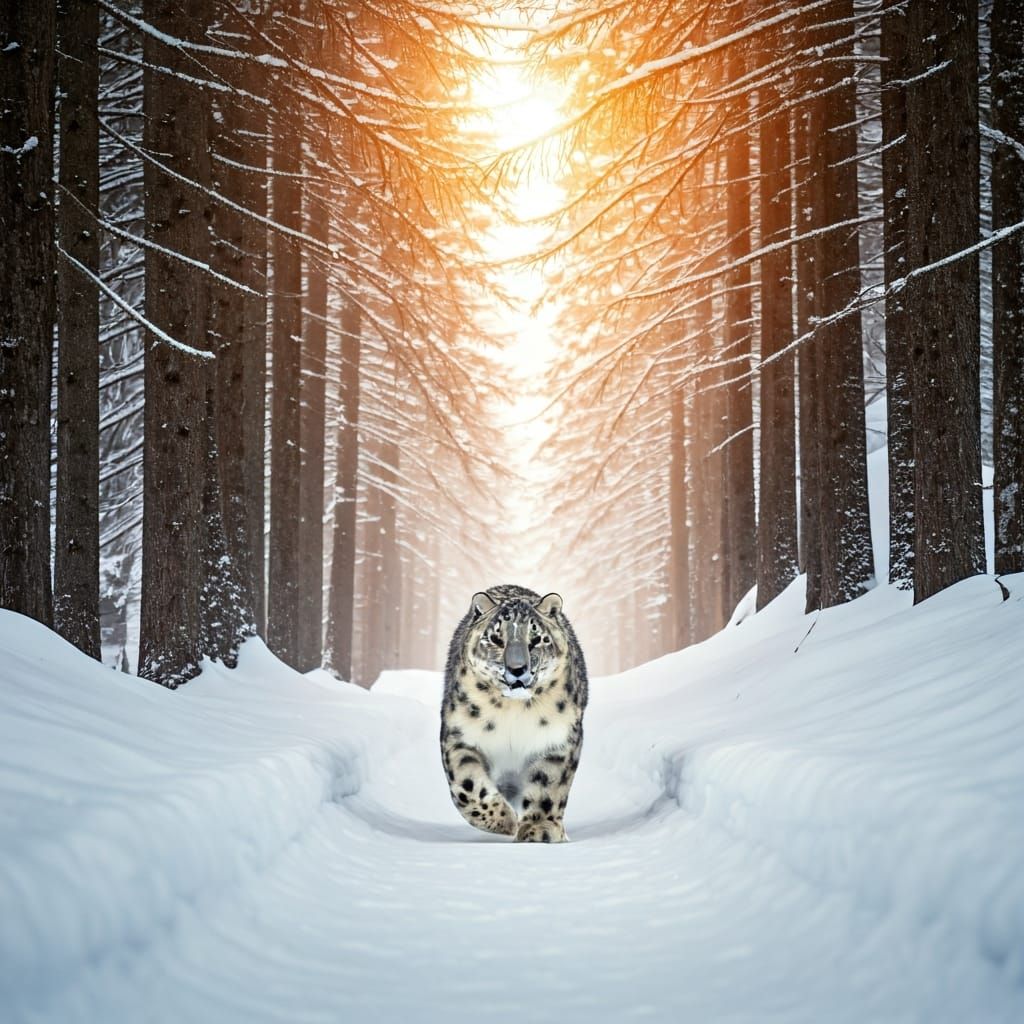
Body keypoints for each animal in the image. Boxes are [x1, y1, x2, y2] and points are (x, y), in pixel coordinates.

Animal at [440, 584, 588, 843]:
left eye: (537, 640)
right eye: (496, 639)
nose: (517, 669)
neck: (514, 711)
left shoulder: (558, 741)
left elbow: (548, 787)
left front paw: (539, 830)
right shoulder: (459, 736)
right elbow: (467, 786)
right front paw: (505, 821)